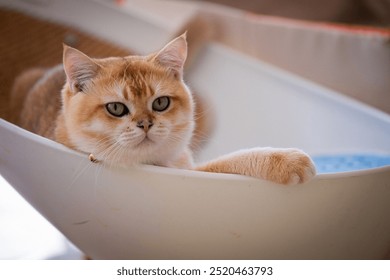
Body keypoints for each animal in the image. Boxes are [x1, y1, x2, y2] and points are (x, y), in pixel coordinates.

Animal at [9, 32, 316, 185]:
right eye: (116, 108)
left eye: (160, 103)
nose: (145, 124)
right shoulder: (199, 172)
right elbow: (232, 160)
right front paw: (286, 160)